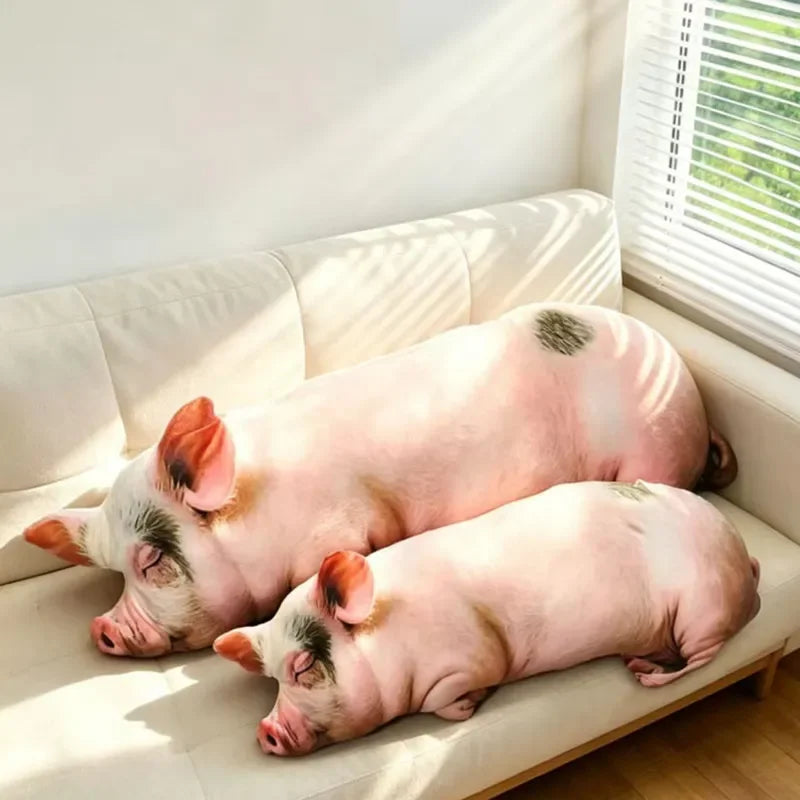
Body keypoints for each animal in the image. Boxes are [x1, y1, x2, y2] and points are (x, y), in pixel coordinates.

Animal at [23, 303, 737, 657]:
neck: (265, 510)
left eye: (151, 562)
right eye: (109, 570)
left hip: (653, 451)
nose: (101, 629)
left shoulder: (342, 531)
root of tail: (685, 380)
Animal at [215, 481, 760, 756]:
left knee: (707, 655)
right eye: (270, 679)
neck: (394, 640)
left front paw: (471, 705)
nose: (265, 729)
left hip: (702, 606)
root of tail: (743, 554)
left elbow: (450, 701)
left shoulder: (474, 655)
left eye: (304, 667)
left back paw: (645, 676)